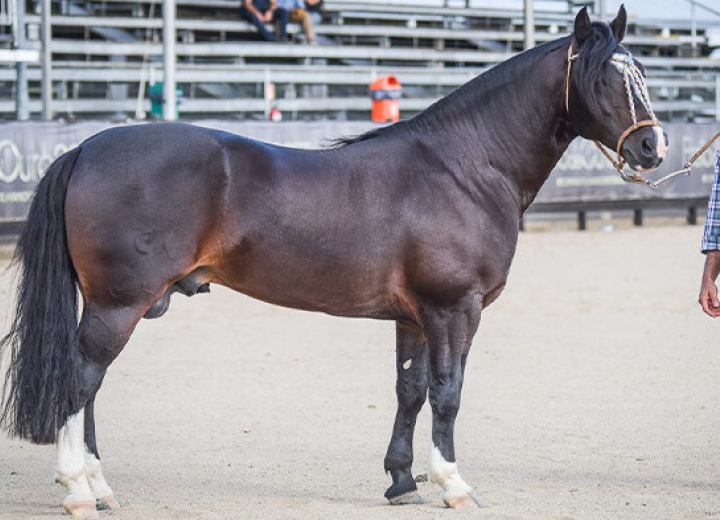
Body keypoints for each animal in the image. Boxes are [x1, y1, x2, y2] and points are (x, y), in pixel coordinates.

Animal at [1, 6, 668, 516]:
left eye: (641, 74)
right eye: (606, 79)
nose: (651, 147)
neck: (463, 168)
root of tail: (87, 147)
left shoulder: (414, 316)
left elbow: (410, 391)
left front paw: (401, 480)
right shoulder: (454, 309)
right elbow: (448, 393)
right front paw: (453, 484)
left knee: (89, 388)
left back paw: (99, 486)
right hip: (119, 304)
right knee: (82, 381)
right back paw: (77, 490)